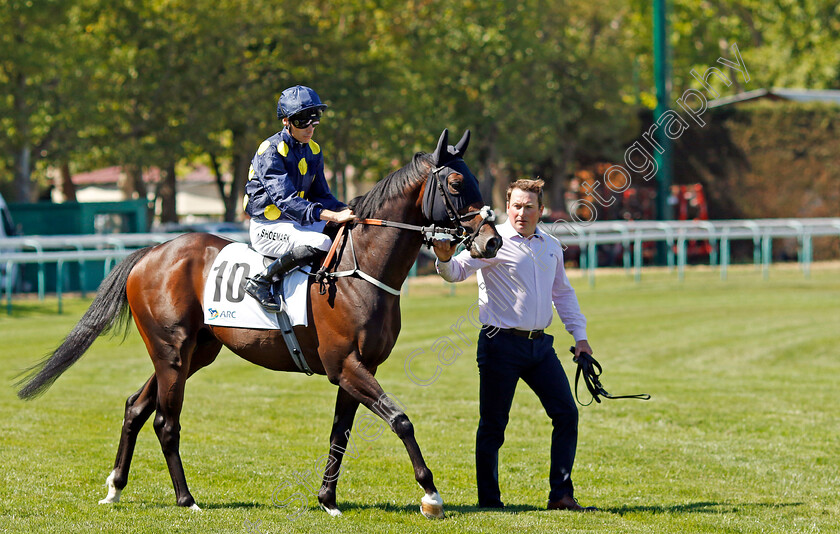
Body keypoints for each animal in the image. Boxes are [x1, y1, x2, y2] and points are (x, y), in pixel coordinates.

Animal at [16, 129, 502, 520]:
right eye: (457, 183)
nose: (492, 240)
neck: (358, 270)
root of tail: (152, 252)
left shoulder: (360, 368)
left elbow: (340, 434)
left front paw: (327, 499)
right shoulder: (345, 365)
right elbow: (401, 421)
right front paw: (431, 495)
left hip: (193, 353)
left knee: (136, 407)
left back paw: (115, 488)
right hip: (171, 352)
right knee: (166, 423)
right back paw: (186, 499)